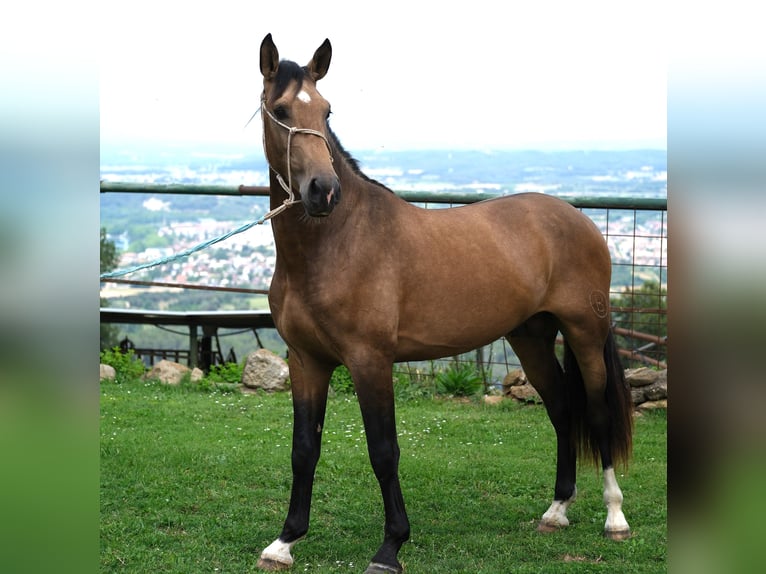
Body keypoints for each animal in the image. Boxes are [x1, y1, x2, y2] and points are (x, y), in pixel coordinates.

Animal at [255, 33, 632, 572]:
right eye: (282, 109)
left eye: (327, 110)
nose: (323, 191)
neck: (336, 243)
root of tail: (578, 219)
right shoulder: (307, 360)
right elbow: (304, 449)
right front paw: (285, 541)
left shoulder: (369, 360)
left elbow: (383, 450)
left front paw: (391, 547)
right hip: (531, 337)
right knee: (561, 409)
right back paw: (556, 510)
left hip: (584, 332)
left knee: (596, 413)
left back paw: (615, 518)